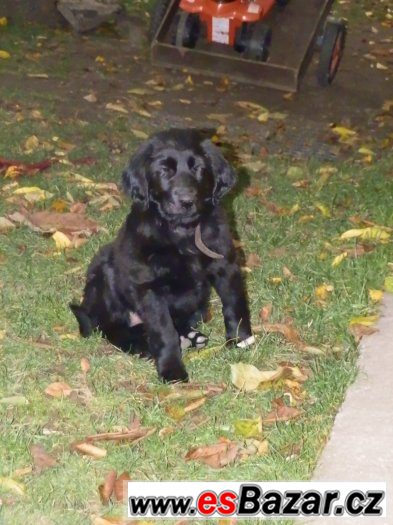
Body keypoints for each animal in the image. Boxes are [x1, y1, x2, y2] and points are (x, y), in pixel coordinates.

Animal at [69, 128, 254, 380]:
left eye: (198, 168)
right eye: (164, 170)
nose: (186, 201)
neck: (182, 232)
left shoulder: (225, 265)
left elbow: (235, 304)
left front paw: (240, 341)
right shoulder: (149, 286)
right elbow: (163, 330)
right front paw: (172, 370)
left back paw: (190, 337)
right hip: (104, 270)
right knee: (112, 329)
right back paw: (143, 347)